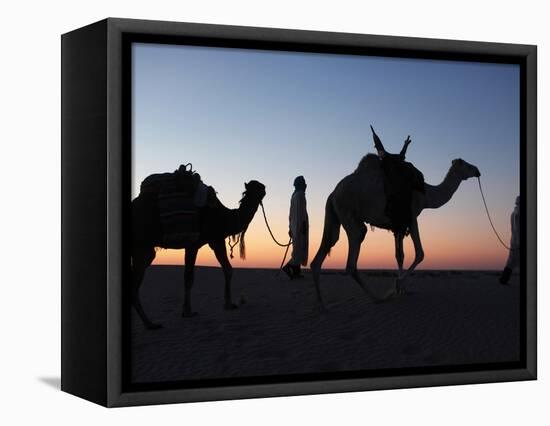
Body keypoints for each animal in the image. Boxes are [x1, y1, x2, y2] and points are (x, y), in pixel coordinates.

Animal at [130, 180, 266, 330]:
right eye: (258, 188)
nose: (264, 188)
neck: (225, 217)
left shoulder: (208, 241)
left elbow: (204, 273)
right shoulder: (209, 240)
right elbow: (211, 273)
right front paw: (191, 311)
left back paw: (149, 323)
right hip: (142, 247)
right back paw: (150, 324)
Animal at [312, 155, 480, 308]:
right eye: (466, 164)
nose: (477, 170)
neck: (426, 194)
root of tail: (333, 193)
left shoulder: (398, 225)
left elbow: (400, 256)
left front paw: (402, 290)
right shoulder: (411, 216)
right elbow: (420, 253)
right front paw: (397, 284)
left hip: (335, 216)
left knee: (326, 247)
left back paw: (321, 304)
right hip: (350, 214)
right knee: (352, 258)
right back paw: (378, 298)